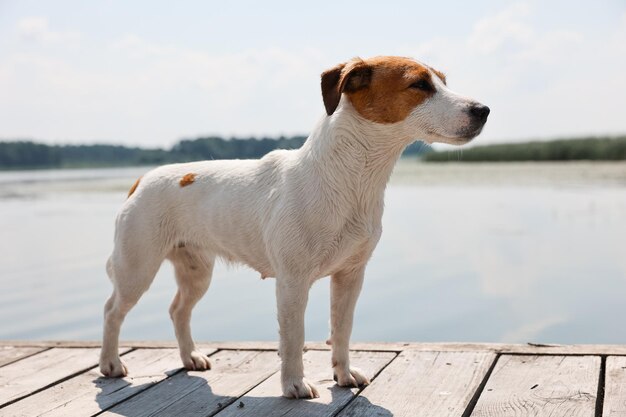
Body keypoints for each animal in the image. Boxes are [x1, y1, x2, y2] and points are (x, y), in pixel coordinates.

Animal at [98, 55, 488, 396]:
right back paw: (110, 364)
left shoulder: (350, 274)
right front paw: (295, 386)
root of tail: (142, 179)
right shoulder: (293, 280)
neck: (350, 179)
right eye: (419, 84)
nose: (483, 110)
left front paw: (344, 374)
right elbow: (294, 338)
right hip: (137, 268)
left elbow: (342, 330)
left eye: (443, 81)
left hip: (196, 271)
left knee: (178, 310)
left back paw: (190, 357)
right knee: (112, 310)